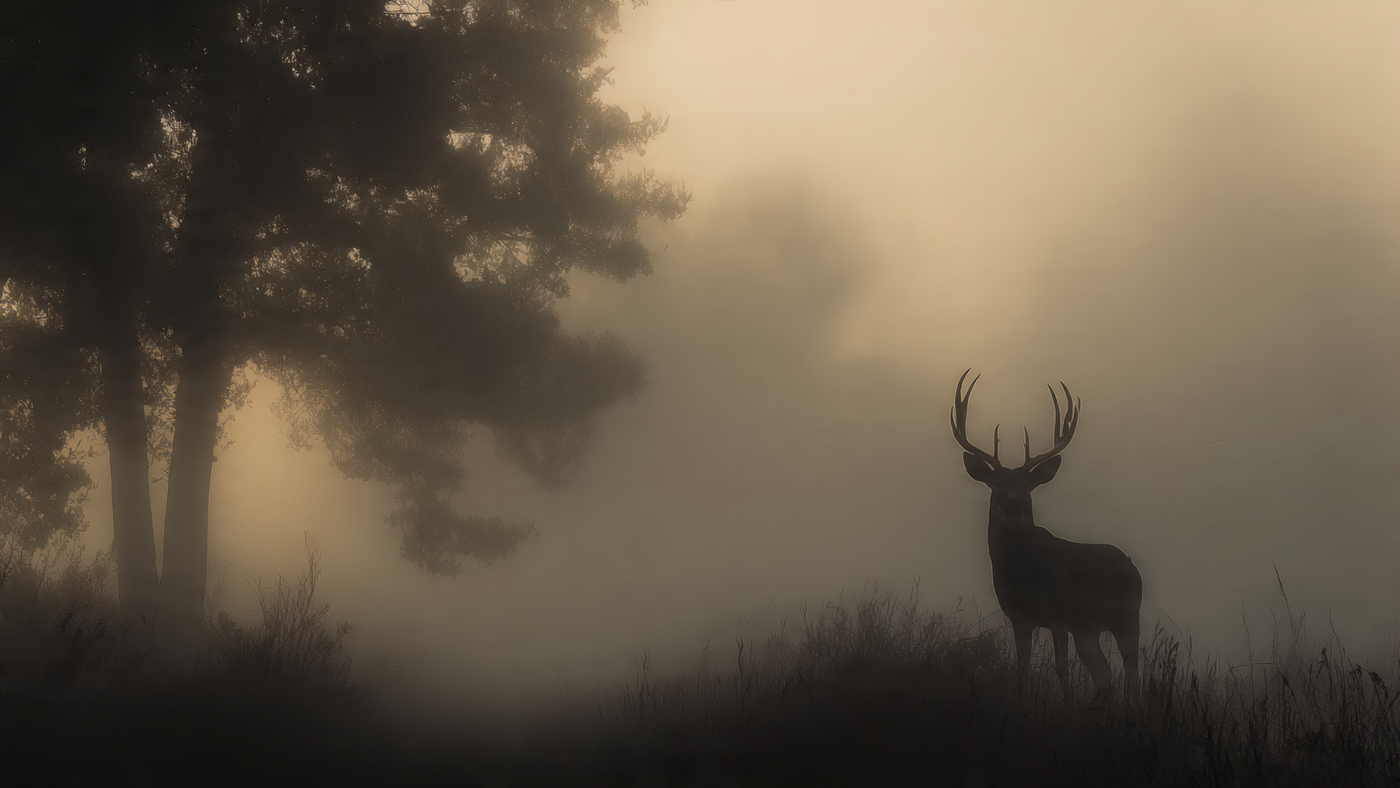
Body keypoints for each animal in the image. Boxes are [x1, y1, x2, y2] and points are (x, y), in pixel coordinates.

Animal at [950, 369, 1141, 705]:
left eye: (1028, 485)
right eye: (996, 482)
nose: (1013, 500)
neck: (1023, 572)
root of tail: (1132, 566)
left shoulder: (1059, 615)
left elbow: (1061, 668)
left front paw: (1067, 706)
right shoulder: (1019, 617)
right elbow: (1021, 668)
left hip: (1128, 617)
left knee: (1134, 674)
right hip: (1089, 628)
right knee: (1103, 672)